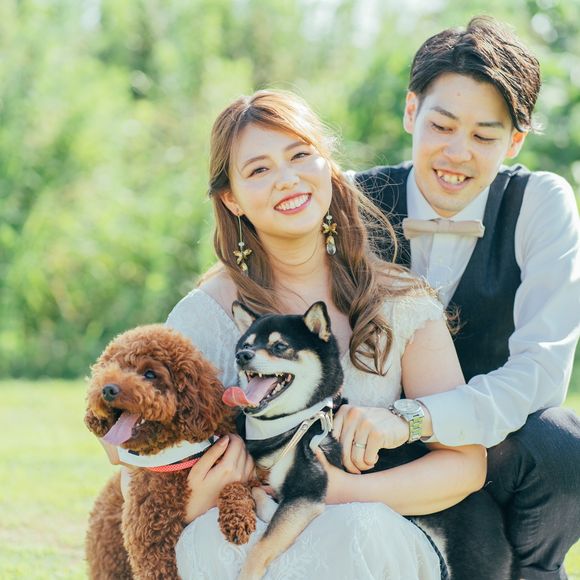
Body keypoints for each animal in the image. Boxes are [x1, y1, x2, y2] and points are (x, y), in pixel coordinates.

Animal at [84, 324, 256, 579]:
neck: (176, 455)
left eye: (149, 374)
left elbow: (238, 486)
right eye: (110, 368)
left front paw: (237, 519)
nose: (107, 389)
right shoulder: (149, 541)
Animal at [222, 301, 518, 580]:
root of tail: (498, 519)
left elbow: (264, 543)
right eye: (246, 345)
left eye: (280, 346)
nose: (242, 356)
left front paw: (247, 572)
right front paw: (266, 507)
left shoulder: (307, 492)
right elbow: (256, 492)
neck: (296, 422)